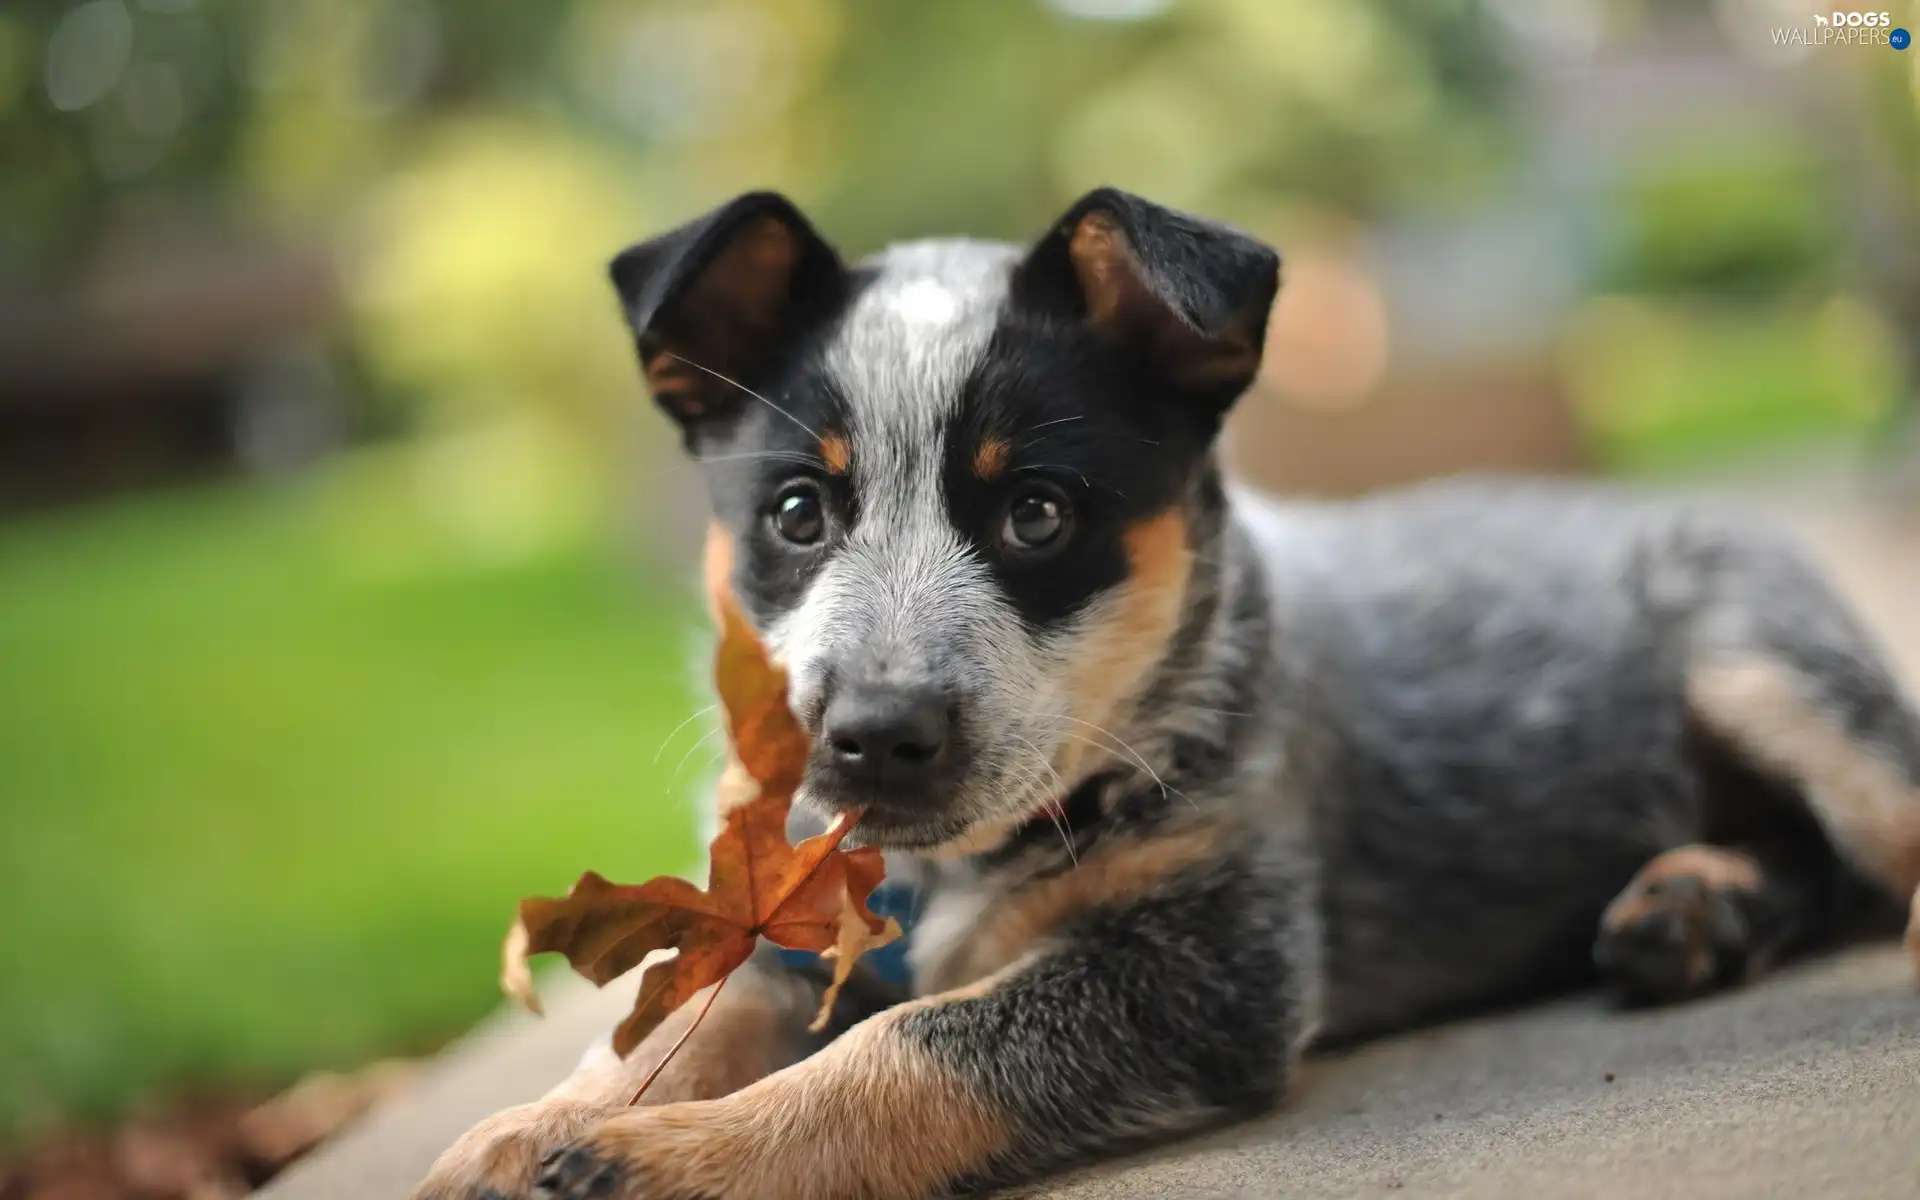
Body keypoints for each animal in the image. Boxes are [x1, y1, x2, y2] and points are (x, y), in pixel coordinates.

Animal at [416, 189, 1920, 1198]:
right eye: (797, 511)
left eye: (1036, 512)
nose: (873, 740)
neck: (941, 877)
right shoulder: (786, 930)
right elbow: (670, 1018)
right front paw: (516, 1134)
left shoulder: (1205, 967)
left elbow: (912, 1045)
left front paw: (659, 1158)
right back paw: (1695, 908)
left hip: (1759, 656)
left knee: (1876, 840)